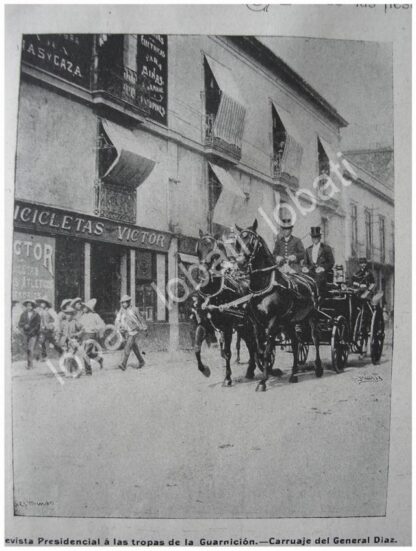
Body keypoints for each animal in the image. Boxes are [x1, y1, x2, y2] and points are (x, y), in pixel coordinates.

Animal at [194, 231, 256, 386]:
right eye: (198, 249)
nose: (202, 273)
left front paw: (227, 378)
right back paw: (250, 370)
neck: (212, 294)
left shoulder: (227, 327)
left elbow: (227, 353)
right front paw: (204, 370)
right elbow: (196, 348)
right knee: (251, 345)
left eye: (214, 252)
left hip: (249, 326)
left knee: (254, 344)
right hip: (242, 327)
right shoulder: (203, 324)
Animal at [234, 220, 322, 392]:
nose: (240, 263)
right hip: (290, 323)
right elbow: (259, 349)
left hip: (312, 317)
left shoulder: (272, 322)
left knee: (315, 339)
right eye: (237, 243)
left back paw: (318, 368)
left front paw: (263, 381)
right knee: (295, 343)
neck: (264, 284)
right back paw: (293, 374)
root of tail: (310, 279)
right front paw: (270, 371)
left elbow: (267, 349)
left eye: (252, 241)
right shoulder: (256, 324)